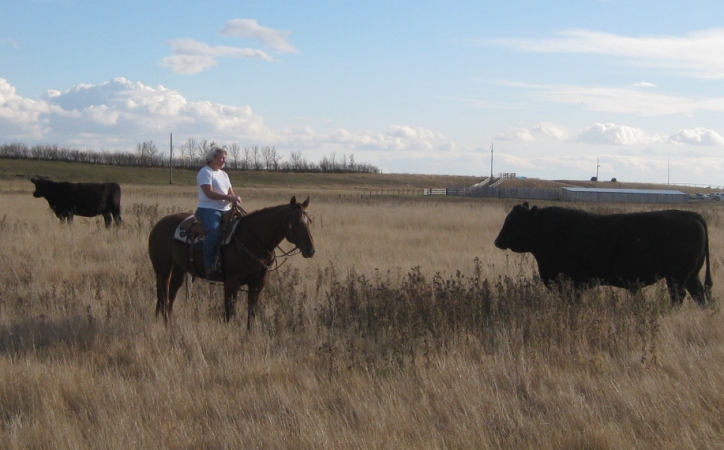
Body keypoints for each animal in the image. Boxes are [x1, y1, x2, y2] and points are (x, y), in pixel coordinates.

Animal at [147, 195, 314, 328]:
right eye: (296, 222)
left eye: (310, 221)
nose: (310, 250)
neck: (251, 240)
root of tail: (159, 224)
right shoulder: (231, 283)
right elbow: (229, 314)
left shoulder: (257, 284)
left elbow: (251, 314)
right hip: (162, 269)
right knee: (163, 295)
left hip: (179, 269)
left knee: (170, 296)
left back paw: (168, 323)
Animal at [492, 203, 712, 306]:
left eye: (515, 222)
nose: (498, 241)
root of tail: (691, 215)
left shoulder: (571, 283)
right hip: (690, 276)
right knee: (699, 295)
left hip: (677, 278)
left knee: (679, 297)